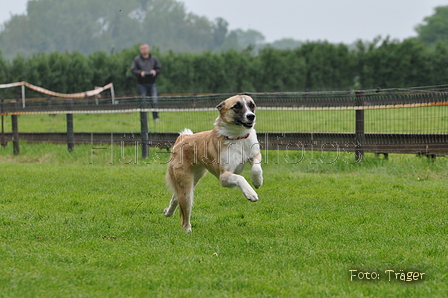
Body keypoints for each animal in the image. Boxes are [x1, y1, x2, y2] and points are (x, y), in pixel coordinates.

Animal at [164, 94, 262, 232]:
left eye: (251, 105)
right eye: (236, 106)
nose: (251, 116)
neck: (238, 137)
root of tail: (182, 139)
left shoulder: (255, 154)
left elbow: (256, 167)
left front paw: (257, 181)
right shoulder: (224, 177)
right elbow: (240, 177)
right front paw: (251, 193)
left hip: (194, 179)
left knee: (175, 197)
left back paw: (168, 212)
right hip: (186, 188)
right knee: (184, 214)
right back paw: (187, 230)